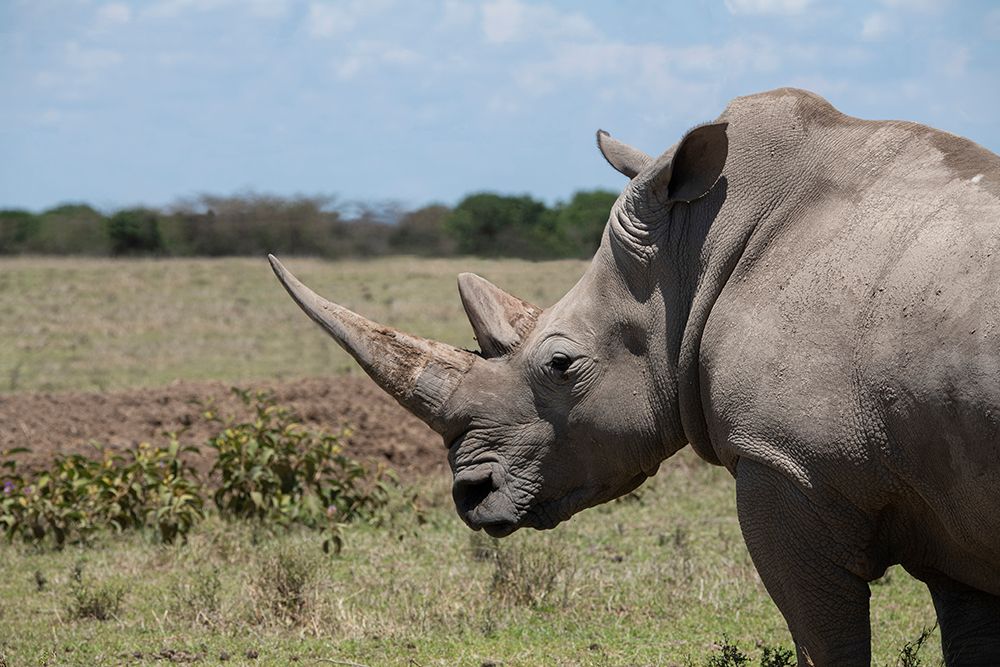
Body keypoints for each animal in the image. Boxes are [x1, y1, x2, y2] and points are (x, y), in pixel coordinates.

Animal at [268, 90, 1000, 667]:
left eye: (561, 365)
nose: (470, 494)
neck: (696, 253)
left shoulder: (787, 464)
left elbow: (825, 641)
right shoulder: (947, 501)